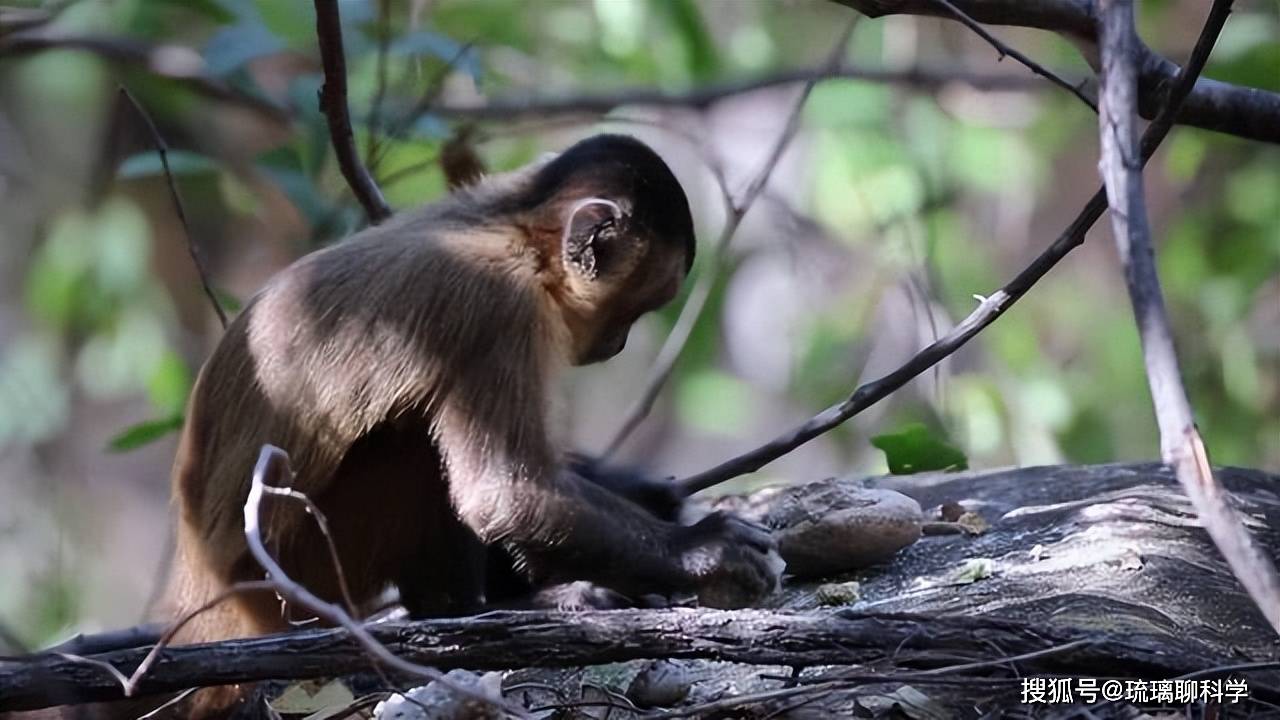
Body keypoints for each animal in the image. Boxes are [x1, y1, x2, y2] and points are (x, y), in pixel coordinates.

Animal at [152, 133, 778, 712]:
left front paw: (647, 492)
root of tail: (203, 586)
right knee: (413, 435)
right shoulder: (499, 306)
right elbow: (505, 494)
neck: (514, 230)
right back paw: (472, 614)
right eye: (636, 307)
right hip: (300, 577)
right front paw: (701, 548)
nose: (619, 342)